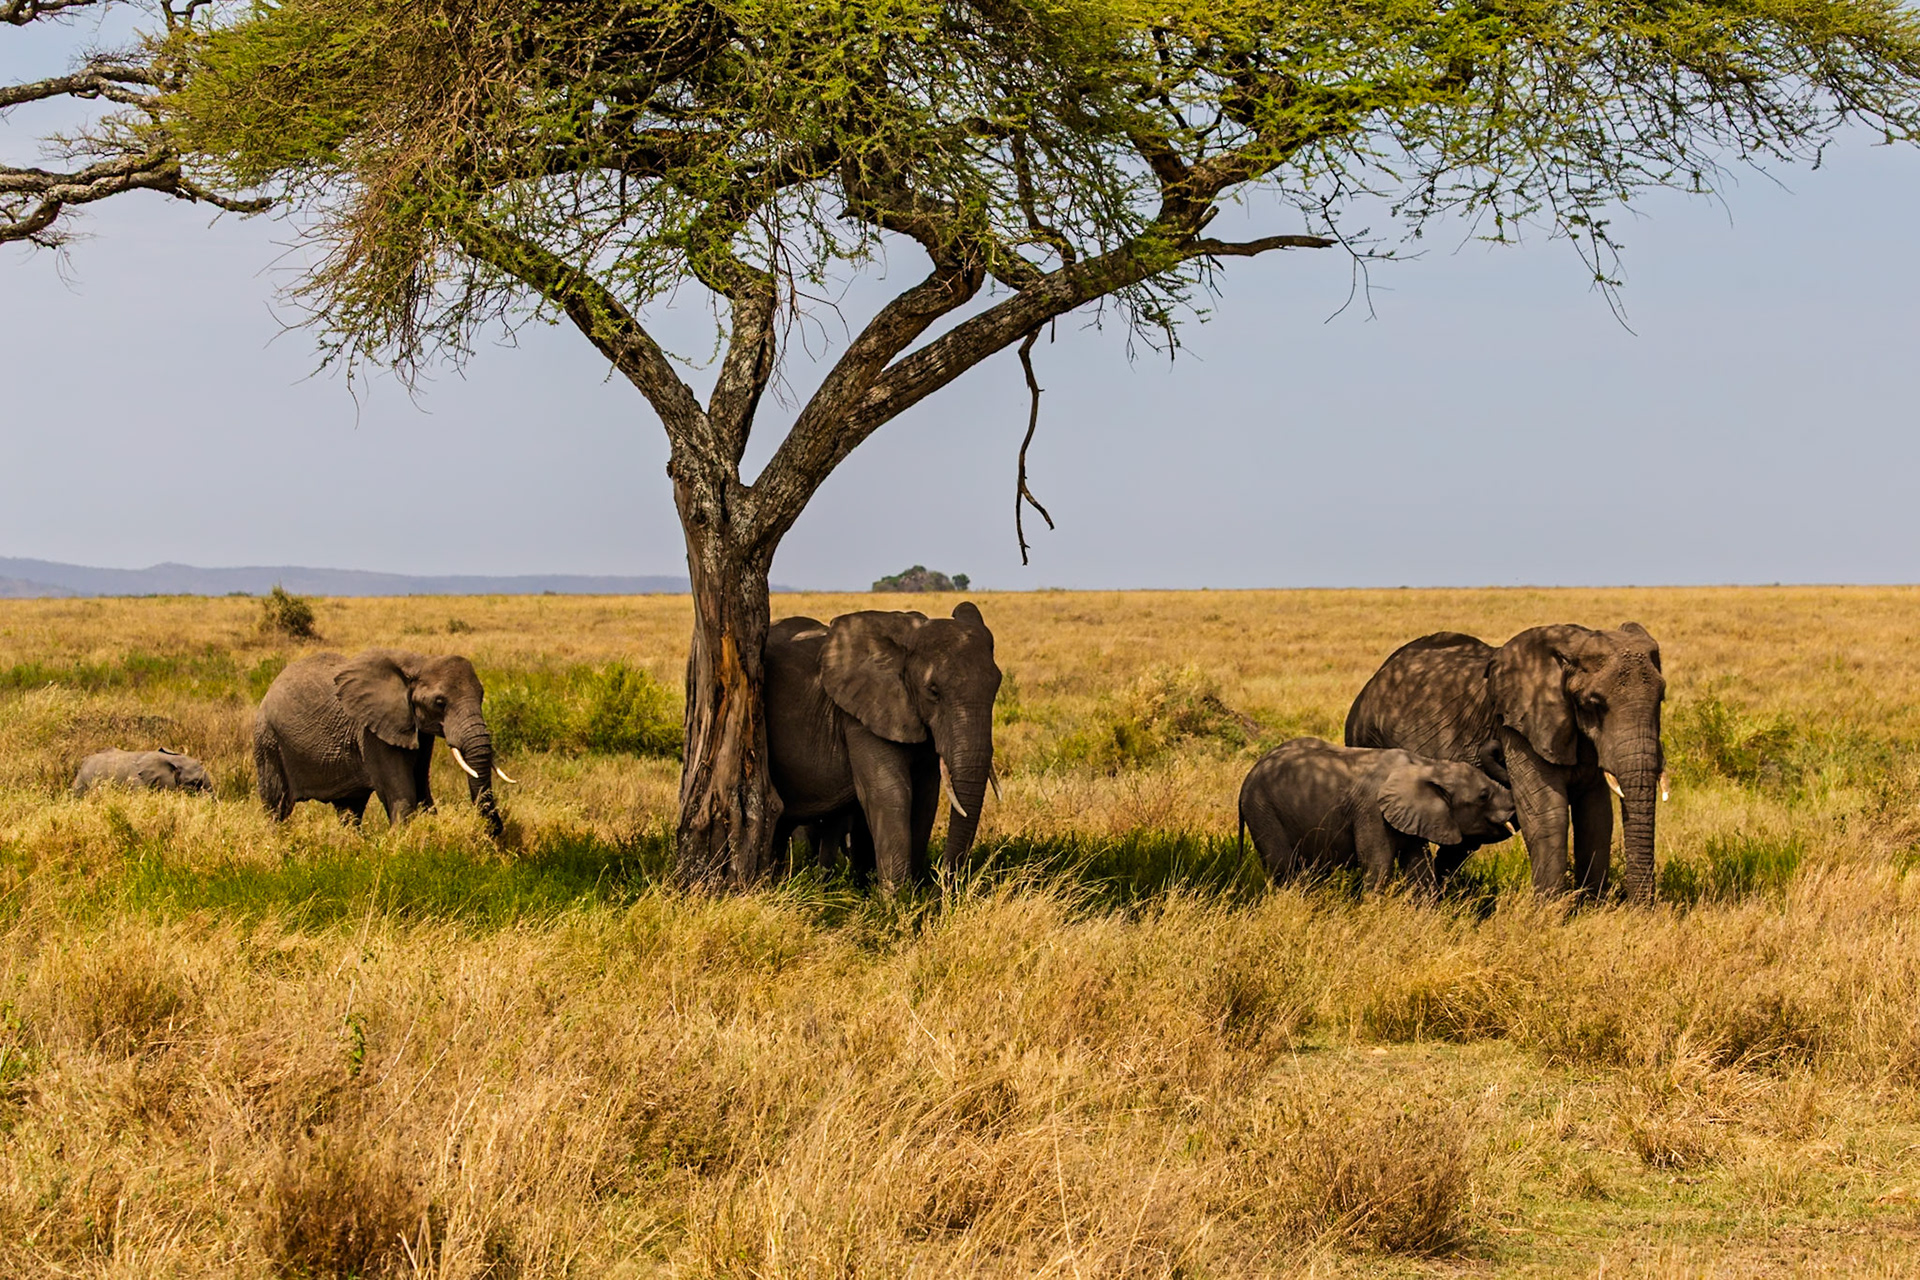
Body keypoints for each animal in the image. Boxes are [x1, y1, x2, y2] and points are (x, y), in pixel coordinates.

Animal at [253, 649, 507, 837]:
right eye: (440, 702)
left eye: (482, 696)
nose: (496, 829)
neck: (418, 662)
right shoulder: (371, 732)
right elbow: (403, 795)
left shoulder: (419, 732)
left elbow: (422, 790)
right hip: (268, 739)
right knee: (277, 806)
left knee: (350, 809)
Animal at [764, 602, 1001, 890]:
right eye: (933, 691)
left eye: (997, 686)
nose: (943, 885)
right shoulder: (860, 715)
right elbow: (890, 793)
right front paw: (897, 898)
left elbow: (925, 798)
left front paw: (913, 893)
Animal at [1237, 738, 1516, 894]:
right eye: (1483, 796)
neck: (1429, 764)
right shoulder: (1371, 811)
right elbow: (1378, 867)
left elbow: (1420, 870)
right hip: (1262, 810)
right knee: (1283, 867)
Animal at [1345, 623, 1667, 903]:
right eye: (1594, 704)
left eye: (1661, 699)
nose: (1640, 910)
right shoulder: (1519, 728)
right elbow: (1547, 814)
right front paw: (1551, 914)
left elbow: (1596, 817)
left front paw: (1595, 909)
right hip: (1366, 735)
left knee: (1462, 842)